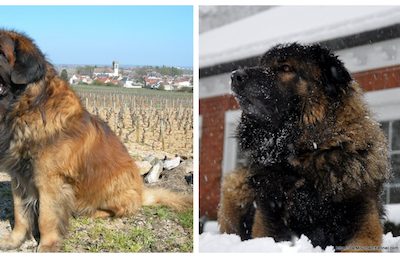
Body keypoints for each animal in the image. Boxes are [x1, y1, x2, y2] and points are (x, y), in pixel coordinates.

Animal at [0, 28, 192, 252]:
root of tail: (141, 192)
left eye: (1, 53)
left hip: (113, 184)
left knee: (118, 209)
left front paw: (47, 246)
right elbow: (20, 215)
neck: (26, 109)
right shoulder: (18, 177)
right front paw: (14, 240)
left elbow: (46, 218)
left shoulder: (49, 181)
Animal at [219, 42, 390, 252]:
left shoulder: (365, 224)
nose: (235, 75)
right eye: (261, 64)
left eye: (285, 68)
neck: (307, 153)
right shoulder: (268, 220)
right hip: (235, 184)